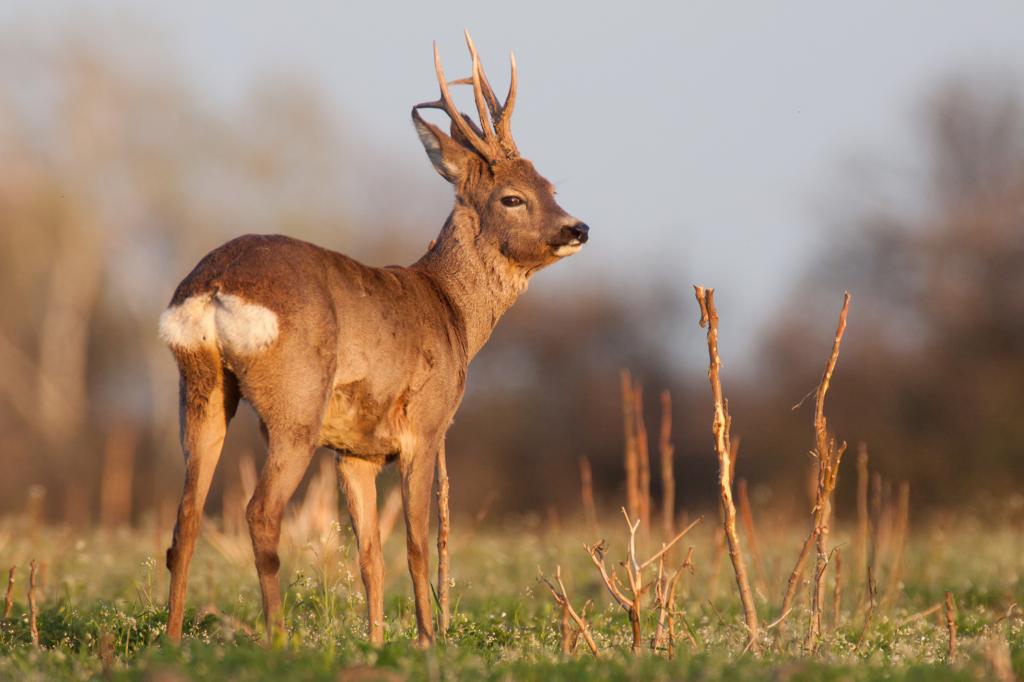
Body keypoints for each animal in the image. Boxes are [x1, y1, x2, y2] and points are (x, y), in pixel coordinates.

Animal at [155, 31, 589, 647]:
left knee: (185, 518)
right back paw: (277, 640)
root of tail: (213, 286)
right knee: (260, 513)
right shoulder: (426, 426)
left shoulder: (353, 450)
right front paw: (428, 640)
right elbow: (415, 546)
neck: (451, 311)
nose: (578, 228)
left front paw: (379, 642)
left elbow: (369, 557)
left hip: (200, 388)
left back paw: (171, 639)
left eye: (549, 186)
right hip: (295, 404)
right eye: (512, 197)